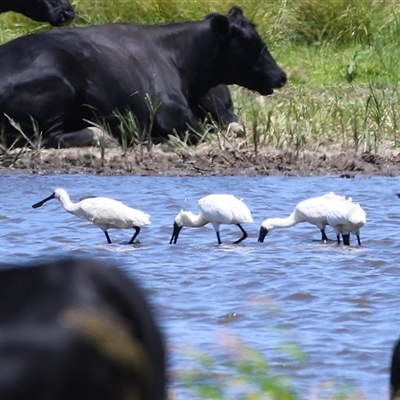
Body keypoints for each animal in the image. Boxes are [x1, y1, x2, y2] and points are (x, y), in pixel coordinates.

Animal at [0, 6, 288, 148]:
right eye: (254, 45)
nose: (281, 76)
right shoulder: (169, 111)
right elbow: (201, 133)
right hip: (59, 86)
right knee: (45, 137)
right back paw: (101, 135)